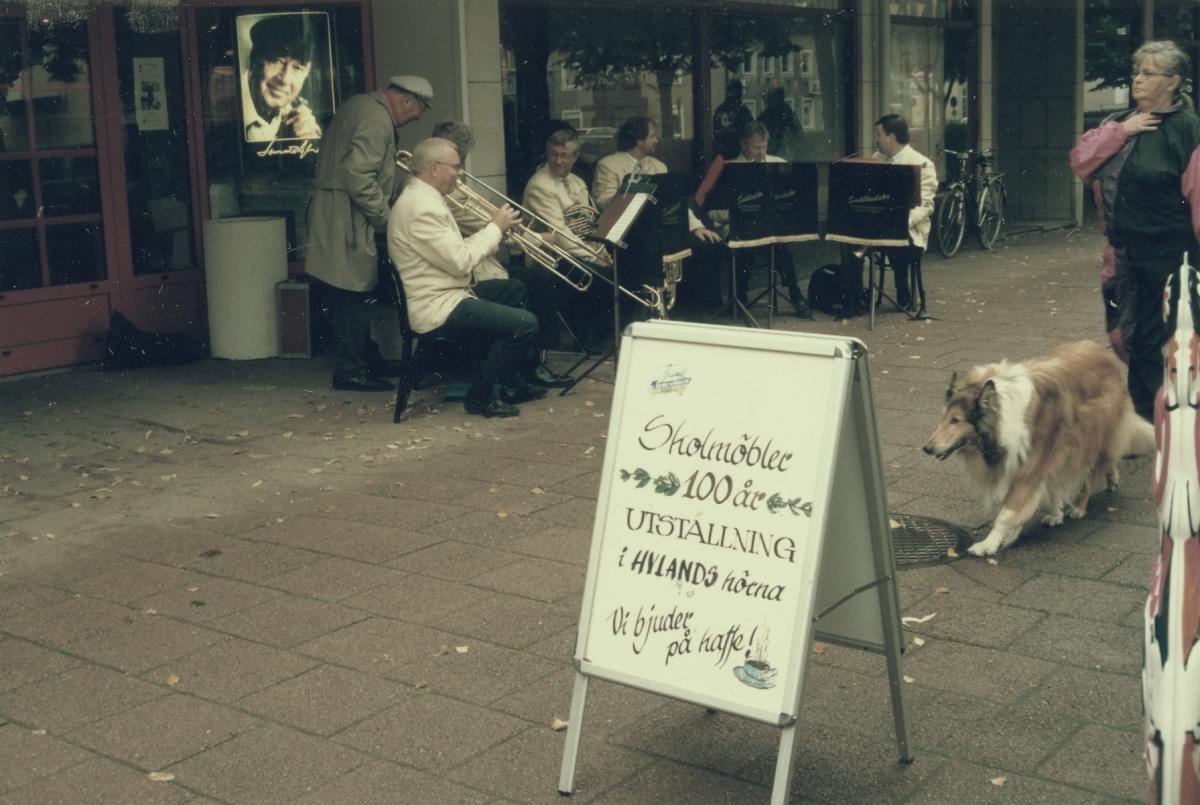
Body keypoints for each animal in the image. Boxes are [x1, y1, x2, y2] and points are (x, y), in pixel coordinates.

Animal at [921, 338, 1156, 554]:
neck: (1001, 417)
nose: (927, 448)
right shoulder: (1040, 460)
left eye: (955, 420)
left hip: (1091, 437)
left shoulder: (1029, 469)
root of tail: (1100, 349)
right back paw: (1104, 483)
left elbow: (1006, 514)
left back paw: (1079, 508)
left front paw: (988, 544)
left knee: (1091, 473)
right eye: (943, 418)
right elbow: (1046, 489)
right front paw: (1050, 515)